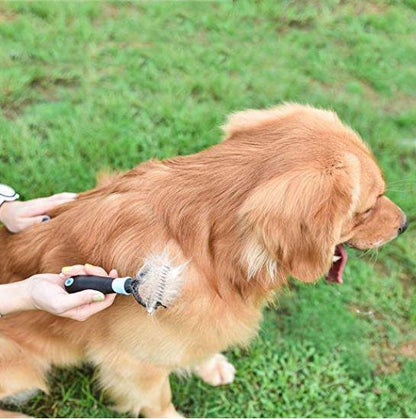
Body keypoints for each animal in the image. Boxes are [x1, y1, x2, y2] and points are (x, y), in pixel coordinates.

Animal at [0, 104, 408, 416]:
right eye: (368, 208)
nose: (405, 224)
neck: (209, 254)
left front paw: (209, 364)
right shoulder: (133, 363)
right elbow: (159, 400)